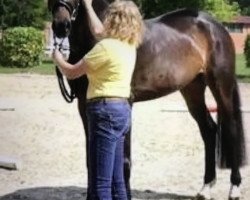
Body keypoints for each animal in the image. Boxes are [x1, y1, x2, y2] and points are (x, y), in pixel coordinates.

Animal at [47, 0, 247, 199]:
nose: (61, 26)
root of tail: (216, 25)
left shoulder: (125, 102)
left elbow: (124, 160)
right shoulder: (85, 104)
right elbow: (91, 159)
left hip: (221, 86)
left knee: (231, 130)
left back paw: (235, 187)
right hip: (193, 90)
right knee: (209, 130)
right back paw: (206, 188)